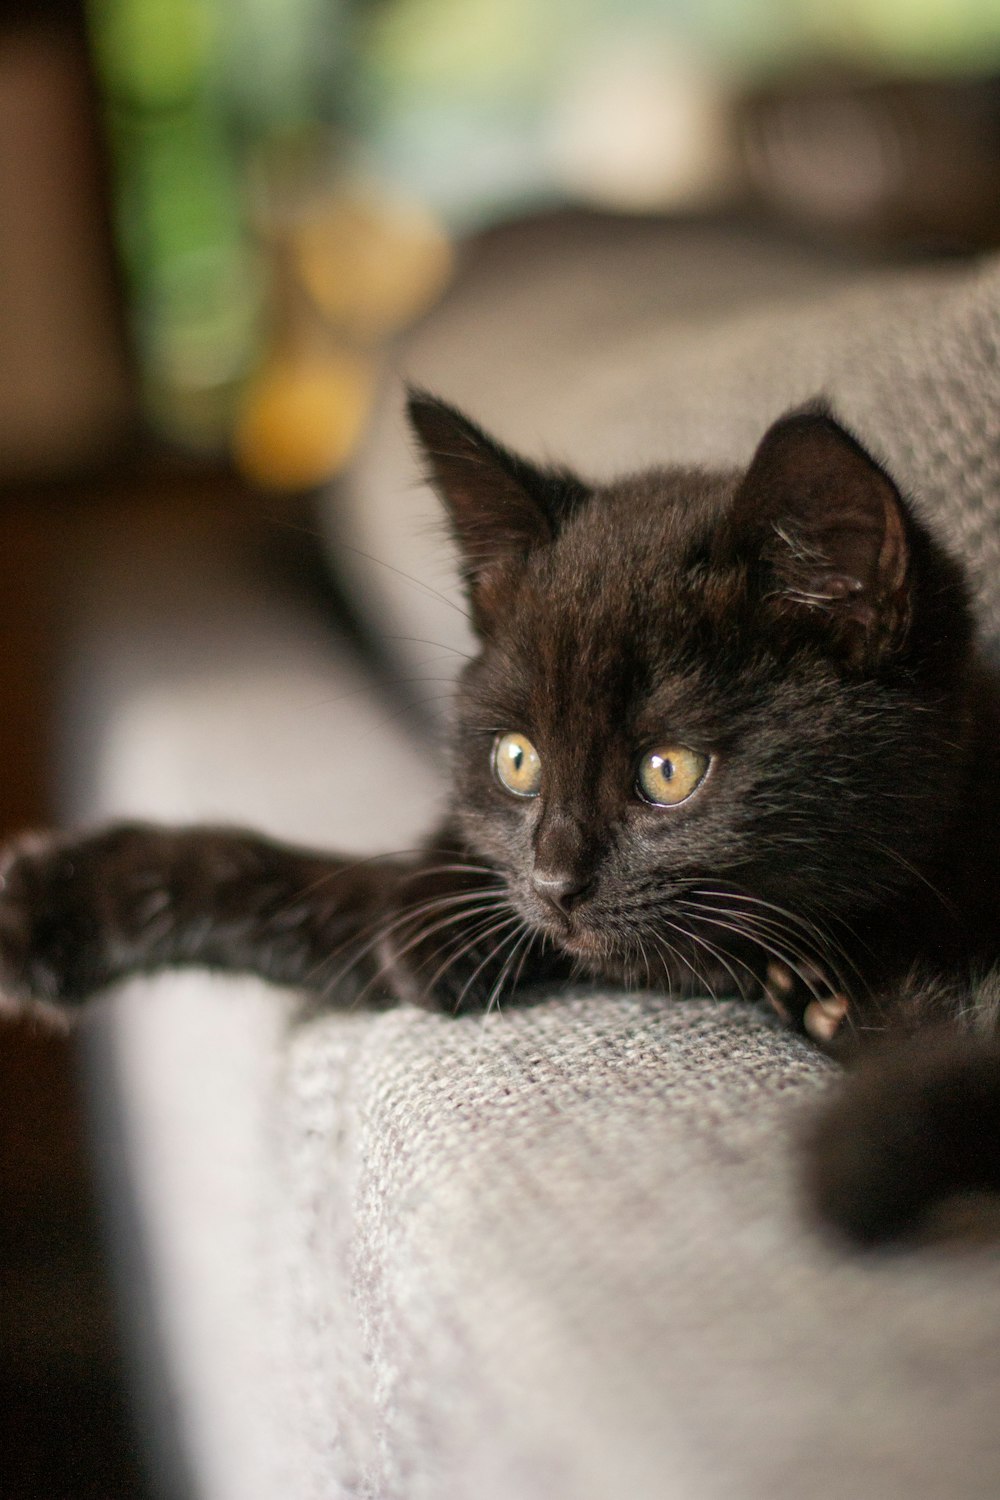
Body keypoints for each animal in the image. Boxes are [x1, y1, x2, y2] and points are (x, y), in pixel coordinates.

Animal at [1, 396, 1000, 1242]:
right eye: (517, 760)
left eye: (669, 772)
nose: (556, 883)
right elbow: (296, 884)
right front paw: (51, 905)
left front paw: (870, 1110)